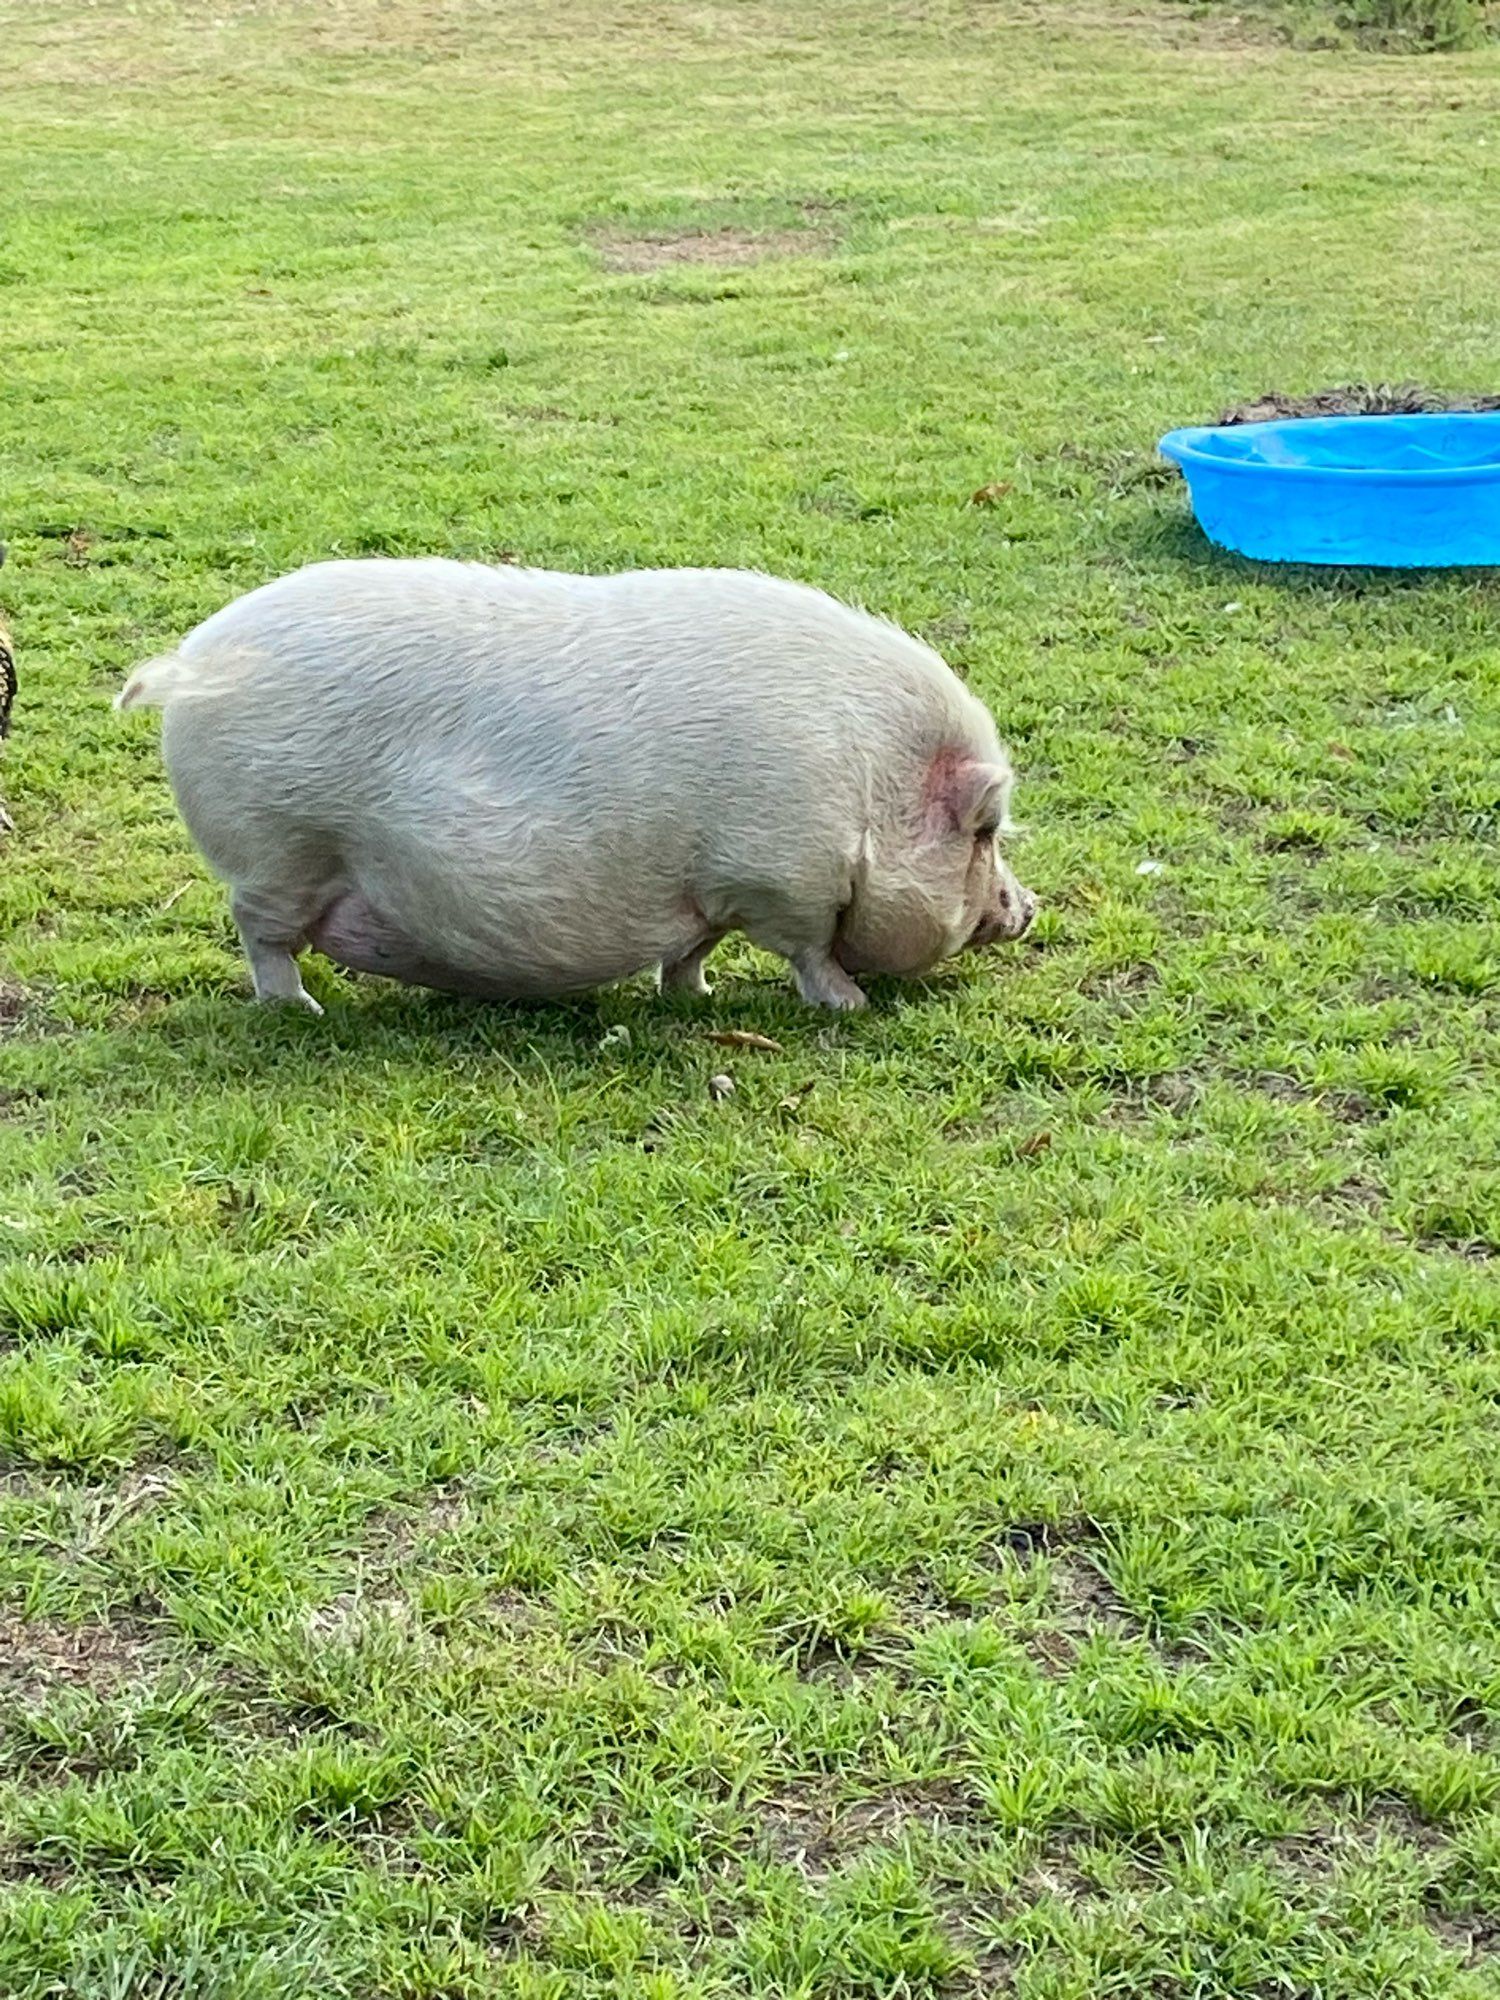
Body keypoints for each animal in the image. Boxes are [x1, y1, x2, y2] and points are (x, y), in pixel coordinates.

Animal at [117, 564, 1040, 1016]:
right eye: (984, 832)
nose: (1029, 908)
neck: (868, 788)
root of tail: (192, 662)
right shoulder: (778, 880)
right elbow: (809, 952)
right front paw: (847, 1008)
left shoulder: (709, 889)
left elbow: (692, 950)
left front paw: (697, 998)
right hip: (279, 850)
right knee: (258, 935)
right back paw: (298, 1011)